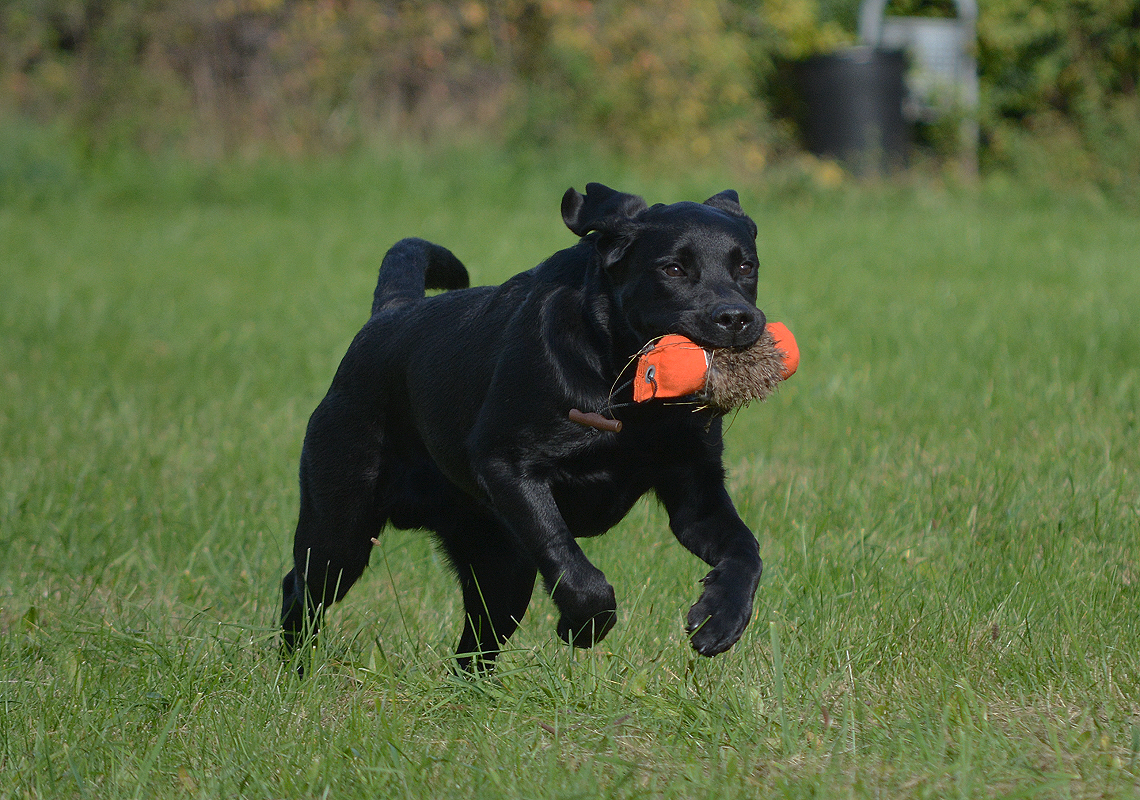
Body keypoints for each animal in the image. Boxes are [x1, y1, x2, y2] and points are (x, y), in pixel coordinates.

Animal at [279, 183, 766, 670]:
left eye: (746, 265)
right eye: (673, 268)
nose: (736, 317)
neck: (625, 389)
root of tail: (387, 314)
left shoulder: (695, 489)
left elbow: (746, 550)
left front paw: (719, 620)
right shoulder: (507, 465)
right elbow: (570, 561)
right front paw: (582, 626)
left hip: (499, 567)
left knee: (473, 649)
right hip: (341, 529)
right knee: (299, 587)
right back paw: (296, 667)